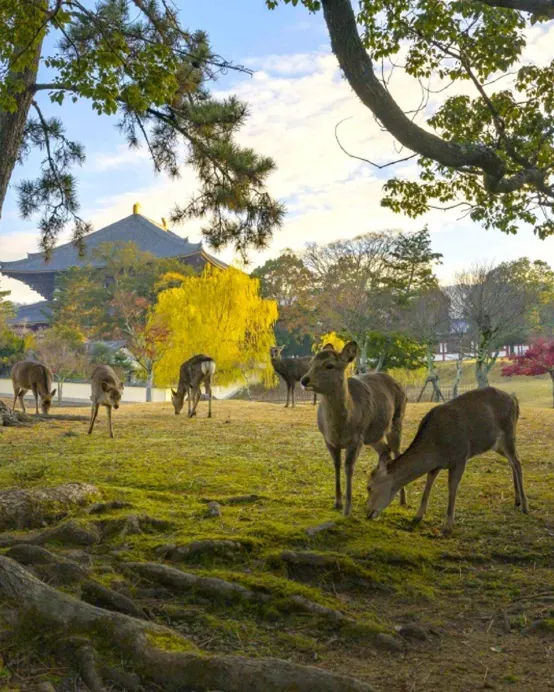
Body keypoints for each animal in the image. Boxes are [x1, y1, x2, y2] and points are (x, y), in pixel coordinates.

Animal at [300, 342, 407, 516]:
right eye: (310, 363)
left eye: (329, 365)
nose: (304, 380)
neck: (341, 428)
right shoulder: (328, 440)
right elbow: (336, 464)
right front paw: (337, 503)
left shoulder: (357, 438)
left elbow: (349, 468)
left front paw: (347, 509)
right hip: (373, 435)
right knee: (385, 451)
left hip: (396, 420)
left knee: (397, 452)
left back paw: (403, 500)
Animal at [366, 387, 528, 534]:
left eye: (370, 487)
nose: (367, 512)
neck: (436, 448)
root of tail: (514, 400)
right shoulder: (436, 465)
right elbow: (428, 484)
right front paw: (418, 516)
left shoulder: (460, 457)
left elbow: (452, 487)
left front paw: (448, 525)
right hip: (497, 445)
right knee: (513, 461)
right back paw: (517, 500)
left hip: (508, 434)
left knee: (518, 462)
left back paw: (525, 506)